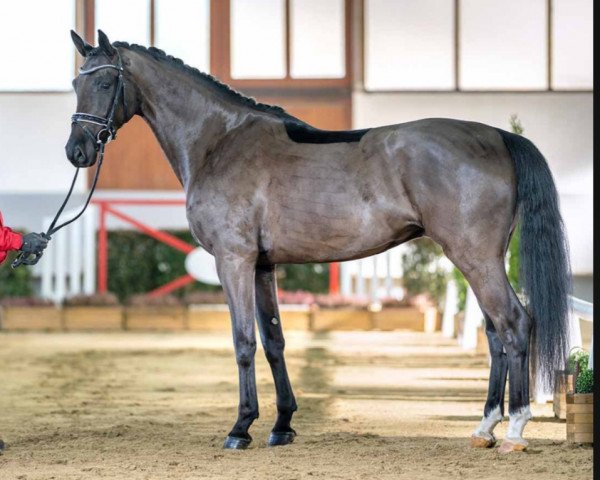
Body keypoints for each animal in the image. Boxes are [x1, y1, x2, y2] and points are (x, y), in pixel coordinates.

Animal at [65, 31, 572, 454]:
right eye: (74, 82)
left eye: (107, 82)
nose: (77, 152)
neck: (220, 141)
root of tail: (498, 136)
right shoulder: (263, 266)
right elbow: (274, 340)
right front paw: (282, 425)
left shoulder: (234, 261)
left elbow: (244, 341)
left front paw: (241, 428)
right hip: (477, 259)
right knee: (495, 332)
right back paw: (485, 427)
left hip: (474, 257)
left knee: (515, 324)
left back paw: (515, 428)